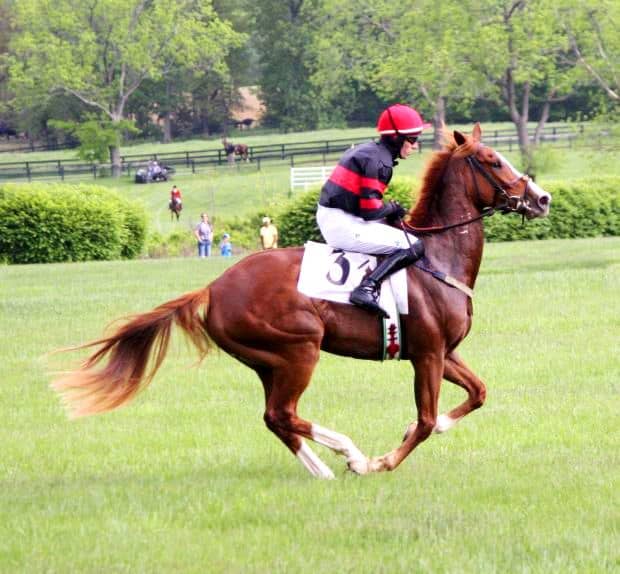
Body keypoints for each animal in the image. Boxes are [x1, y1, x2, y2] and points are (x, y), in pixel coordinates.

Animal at [50, 125, 548, 482]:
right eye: (493, 160)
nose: (541, 198)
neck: (438, 256)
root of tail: (212, 287)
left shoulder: (444, 352)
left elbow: (478, 393)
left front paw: (424, 430)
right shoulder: (426, 353)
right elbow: (424, 421)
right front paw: (380, 462)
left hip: (268, 361)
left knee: (275, 418)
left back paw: (324, 469)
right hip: (299, 350)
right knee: (283, 413)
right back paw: (350, 454)